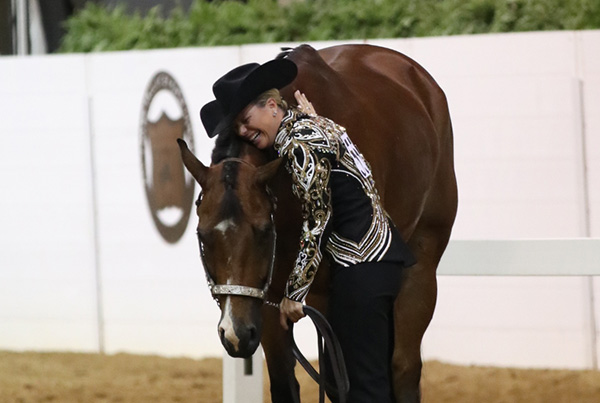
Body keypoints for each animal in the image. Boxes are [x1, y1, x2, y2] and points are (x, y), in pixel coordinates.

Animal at [176, 42, 458, 402]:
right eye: (202, 236)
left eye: (263, 232)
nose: (235, 334)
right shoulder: (267, 304)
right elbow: (285, 381)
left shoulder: (328, 299)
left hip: (421, 267)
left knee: (403, 368)